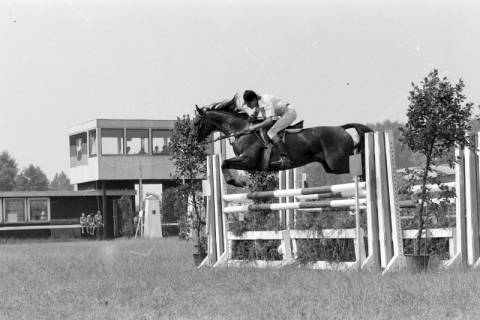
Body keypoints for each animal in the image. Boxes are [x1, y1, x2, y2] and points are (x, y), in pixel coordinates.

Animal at [193, 96, 374, 189]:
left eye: (196, 123)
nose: (195, 140)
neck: (242, 130)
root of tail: (341, 128)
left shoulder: (248, 160)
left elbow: (224, 162)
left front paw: (238, 182)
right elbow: (224, 163)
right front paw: (239, 182)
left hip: (338, 163)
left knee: (362, 165)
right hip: (330, 166)